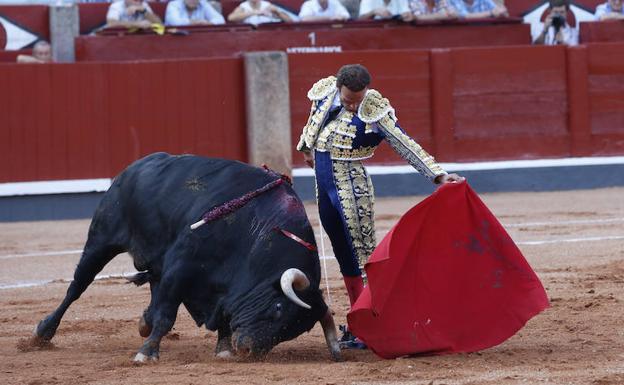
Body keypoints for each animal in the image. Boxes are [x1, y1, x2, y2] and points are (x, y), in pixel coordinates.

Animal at [33, 152, 342, 360]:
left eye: (293, 331)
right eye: (278, 308)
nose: (247, 349)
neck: (258, 231)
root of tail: (134, 167)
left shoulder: (219, 286)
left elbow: (222, 314)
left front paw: (224, 350)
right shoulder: (180, 267)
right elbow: (167, 315)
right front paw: (146, 354)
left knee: (151, 286)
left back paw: (144, 322)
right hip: (101, 240)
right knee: (77, 286)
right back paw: (42, 333)